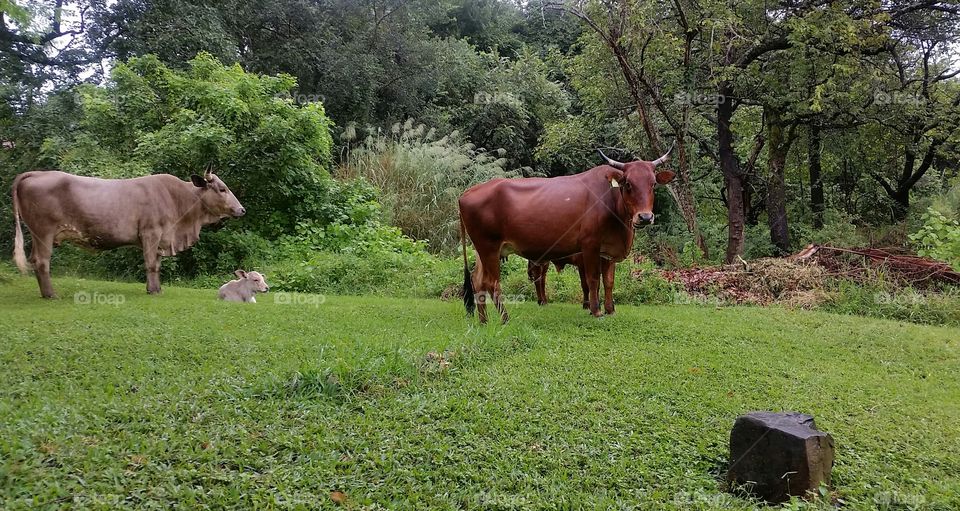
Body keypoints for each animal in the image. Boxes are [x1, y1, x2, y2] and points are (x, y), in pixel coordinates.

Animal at [11, 168, 245, 298]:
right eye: (222, 189)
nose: (242, 209)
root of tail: (37, 173)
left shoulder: (160, 238)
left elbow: (157, 264)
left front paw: (157, 289)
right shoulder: (150, 233)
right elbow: (151, 264)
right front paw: (152, 291)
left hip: (37, 234)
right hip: (44, 232)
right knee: (42, 261)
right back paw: (51, 295)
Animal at [459, 146, 674, 323]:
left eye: (653, 184)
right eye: (628, 183)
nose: (645, 217)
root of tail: (468, 192)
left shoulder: (607, 251)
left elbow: (609, 281)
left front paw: (611, 309)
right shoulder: (590, 246)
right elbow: (592, 280)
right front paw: (596, 311)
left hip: (483, 250)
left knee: (478, 281)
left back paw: (484, 321)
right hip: (489, 247)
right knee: (492, 283)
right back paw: (505, 318)